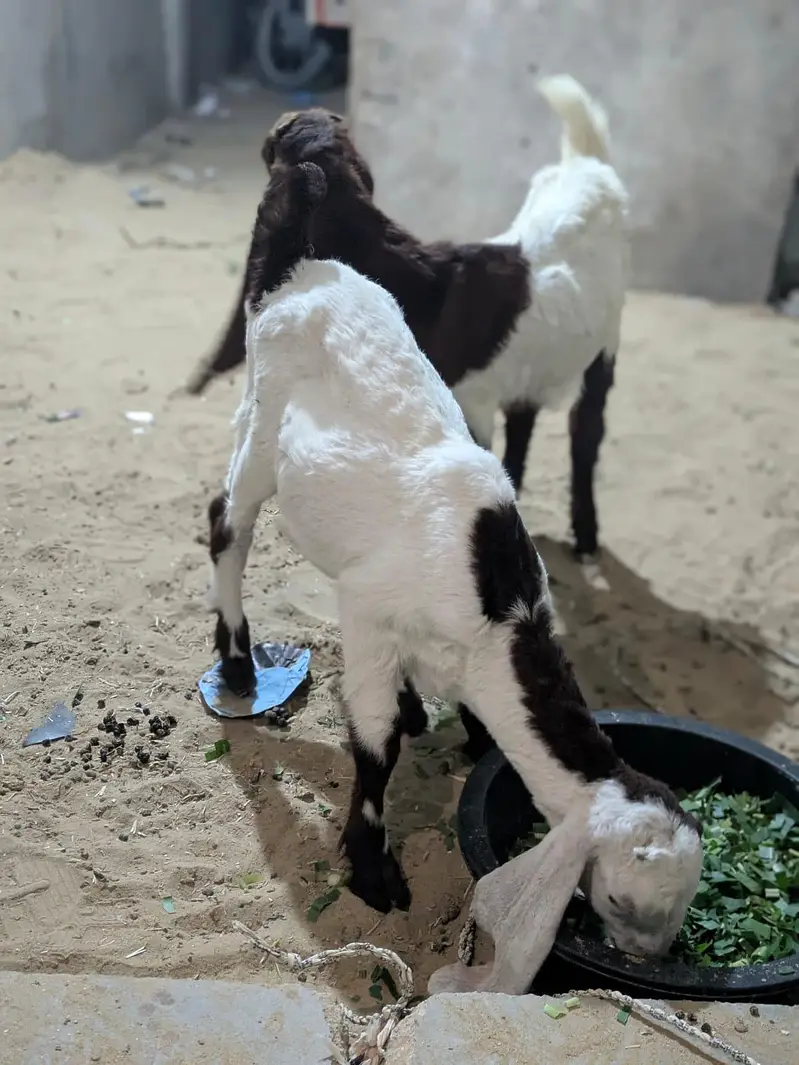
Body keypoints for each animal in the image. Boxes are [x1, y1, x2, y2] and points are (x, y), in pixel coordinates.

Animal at [189, 76, 629, 563]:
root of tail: (587, 165)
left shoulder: (461, 408)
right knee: (525, 420)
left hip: (605, 348)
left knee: (586, 432)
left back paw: (586, 537)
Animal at [207, 158, 702, 949]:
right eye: (625, 903)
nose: (646, 959)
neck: (494, 609)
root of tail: (305, 267)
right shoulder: (368, 612)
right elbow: (375, 743)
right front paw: (373, 872)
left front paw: (442, 725)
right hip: (261, 416)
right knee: (227, 521)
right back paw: (235, 662)